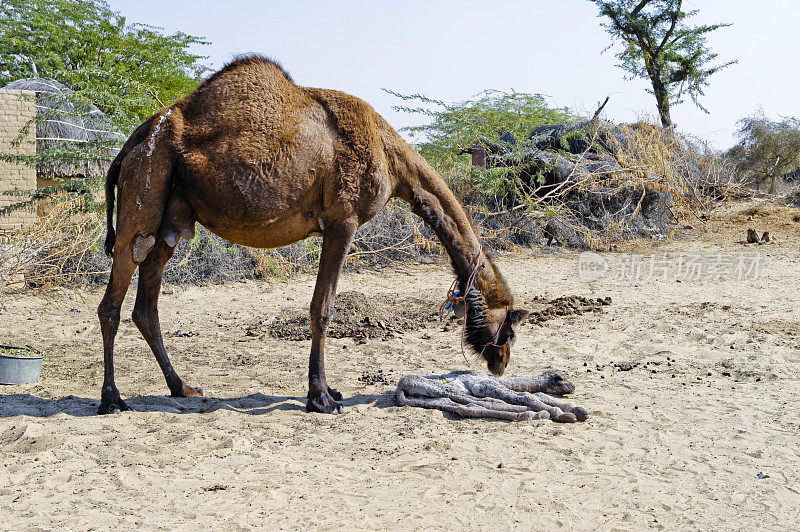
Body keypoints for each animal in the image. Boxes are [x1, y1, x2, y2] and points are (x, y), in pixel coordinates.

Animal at [98, 57, 532, 416]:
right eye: (510, 325)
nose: (501, 362)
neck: (391, 157)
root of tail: (134, 141)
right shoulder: (343, 220)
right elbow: (322, 308)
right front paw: (322, 398)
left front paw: (329, 392)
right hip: (144, 186)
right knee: (112, 302)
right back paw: (112, 399)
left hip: (169, 219)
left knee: (146, 305)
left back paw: (182, 387)